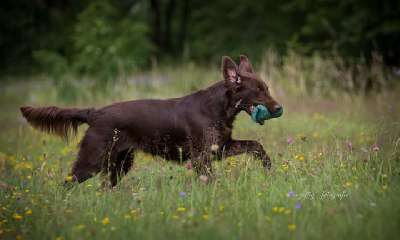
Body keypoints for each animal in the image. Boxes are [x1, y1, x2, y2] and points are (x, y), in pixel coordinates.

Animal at [19, 55, 282, 187]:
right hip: (92, 159)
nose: (278, 108)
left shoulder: (221, 147)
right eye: (258, 91)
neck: (219, 108)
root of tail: (95, 113)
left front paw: (269, 168)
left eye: (267, 88)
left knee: (104, 186)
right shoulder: (202, 157)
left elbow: (256, 146)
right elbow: (210, 179)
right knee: (67, 182)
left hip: (120, 163)